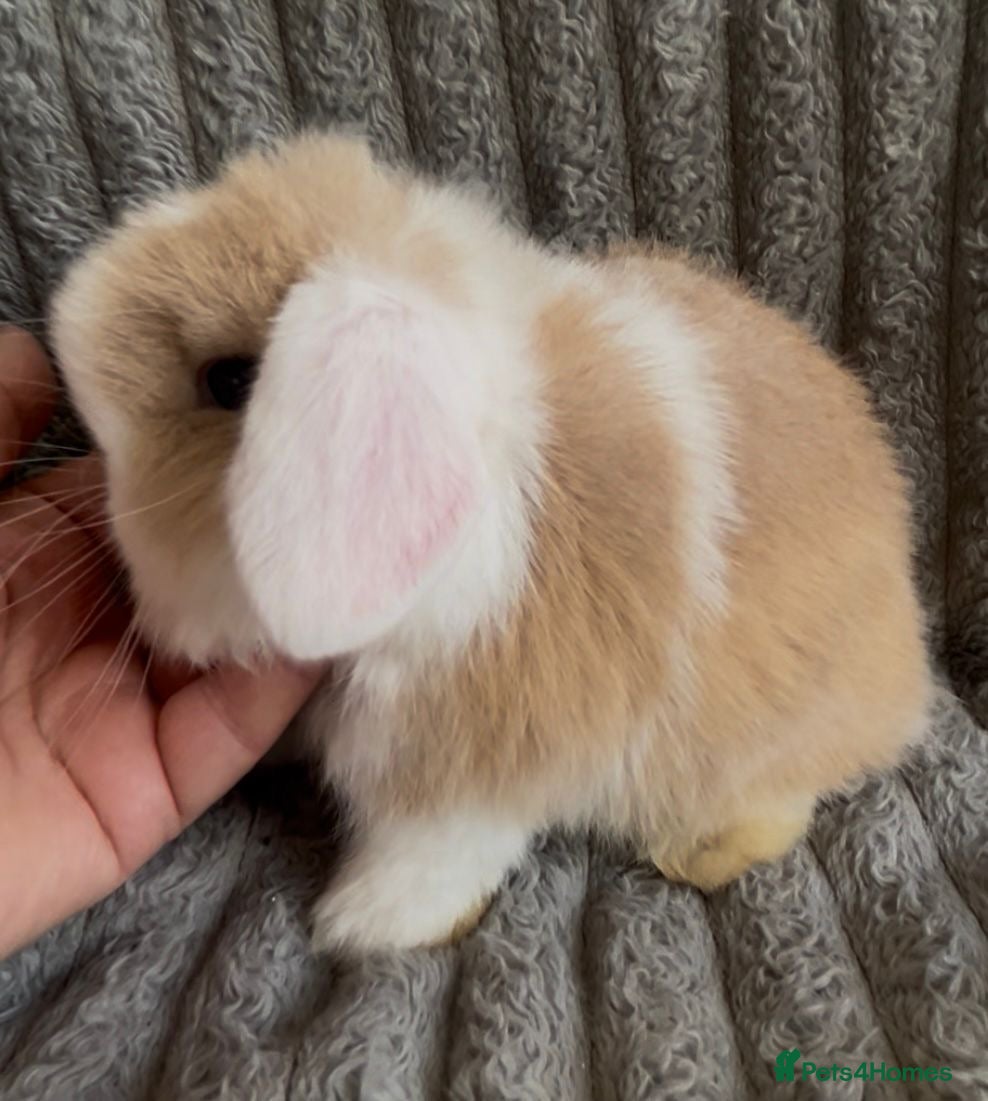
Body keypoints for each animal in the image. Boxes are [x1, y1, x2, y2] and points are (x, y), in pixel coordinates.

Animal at [50, 132, 932, 954]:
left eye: (230, 381)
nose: (67, 321)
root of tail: (908, 673)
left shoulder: (470, 768)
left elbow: (432, 855)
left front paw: (365, 924)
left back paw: (698, 853)